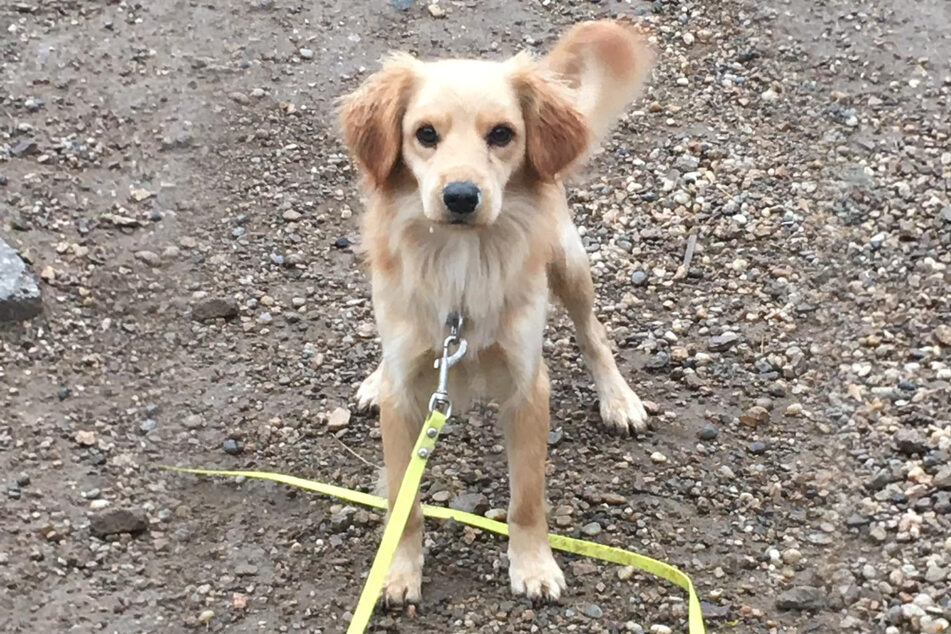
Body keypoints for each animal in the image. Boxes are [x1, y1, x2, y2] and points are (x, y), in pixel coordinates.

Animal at [338, 19, 660, 604]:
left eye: (503, 134)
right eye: (425, 134)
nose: (462, 196)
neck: (463, 264)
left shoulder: (527, 385)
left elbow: (526, 498)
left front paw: (533, 565)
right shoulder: (407, 399)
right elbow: (403, 499)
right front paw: (398, 569)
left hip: (568, 263)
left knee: (593, 333)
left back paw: (618, 398)